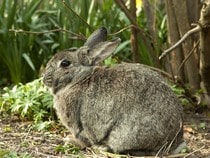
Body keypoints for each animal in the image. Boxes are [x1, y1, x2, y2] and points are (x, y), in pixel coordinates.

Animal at [43, 27, 184, 156]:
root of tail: (174, 142)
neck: (80, 78)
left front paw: (71, 140)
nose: (44, 77)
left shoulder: (78, 123)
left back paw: (102, 147)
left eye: (65, 63)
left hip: (126, 134)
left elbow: (84, 138)